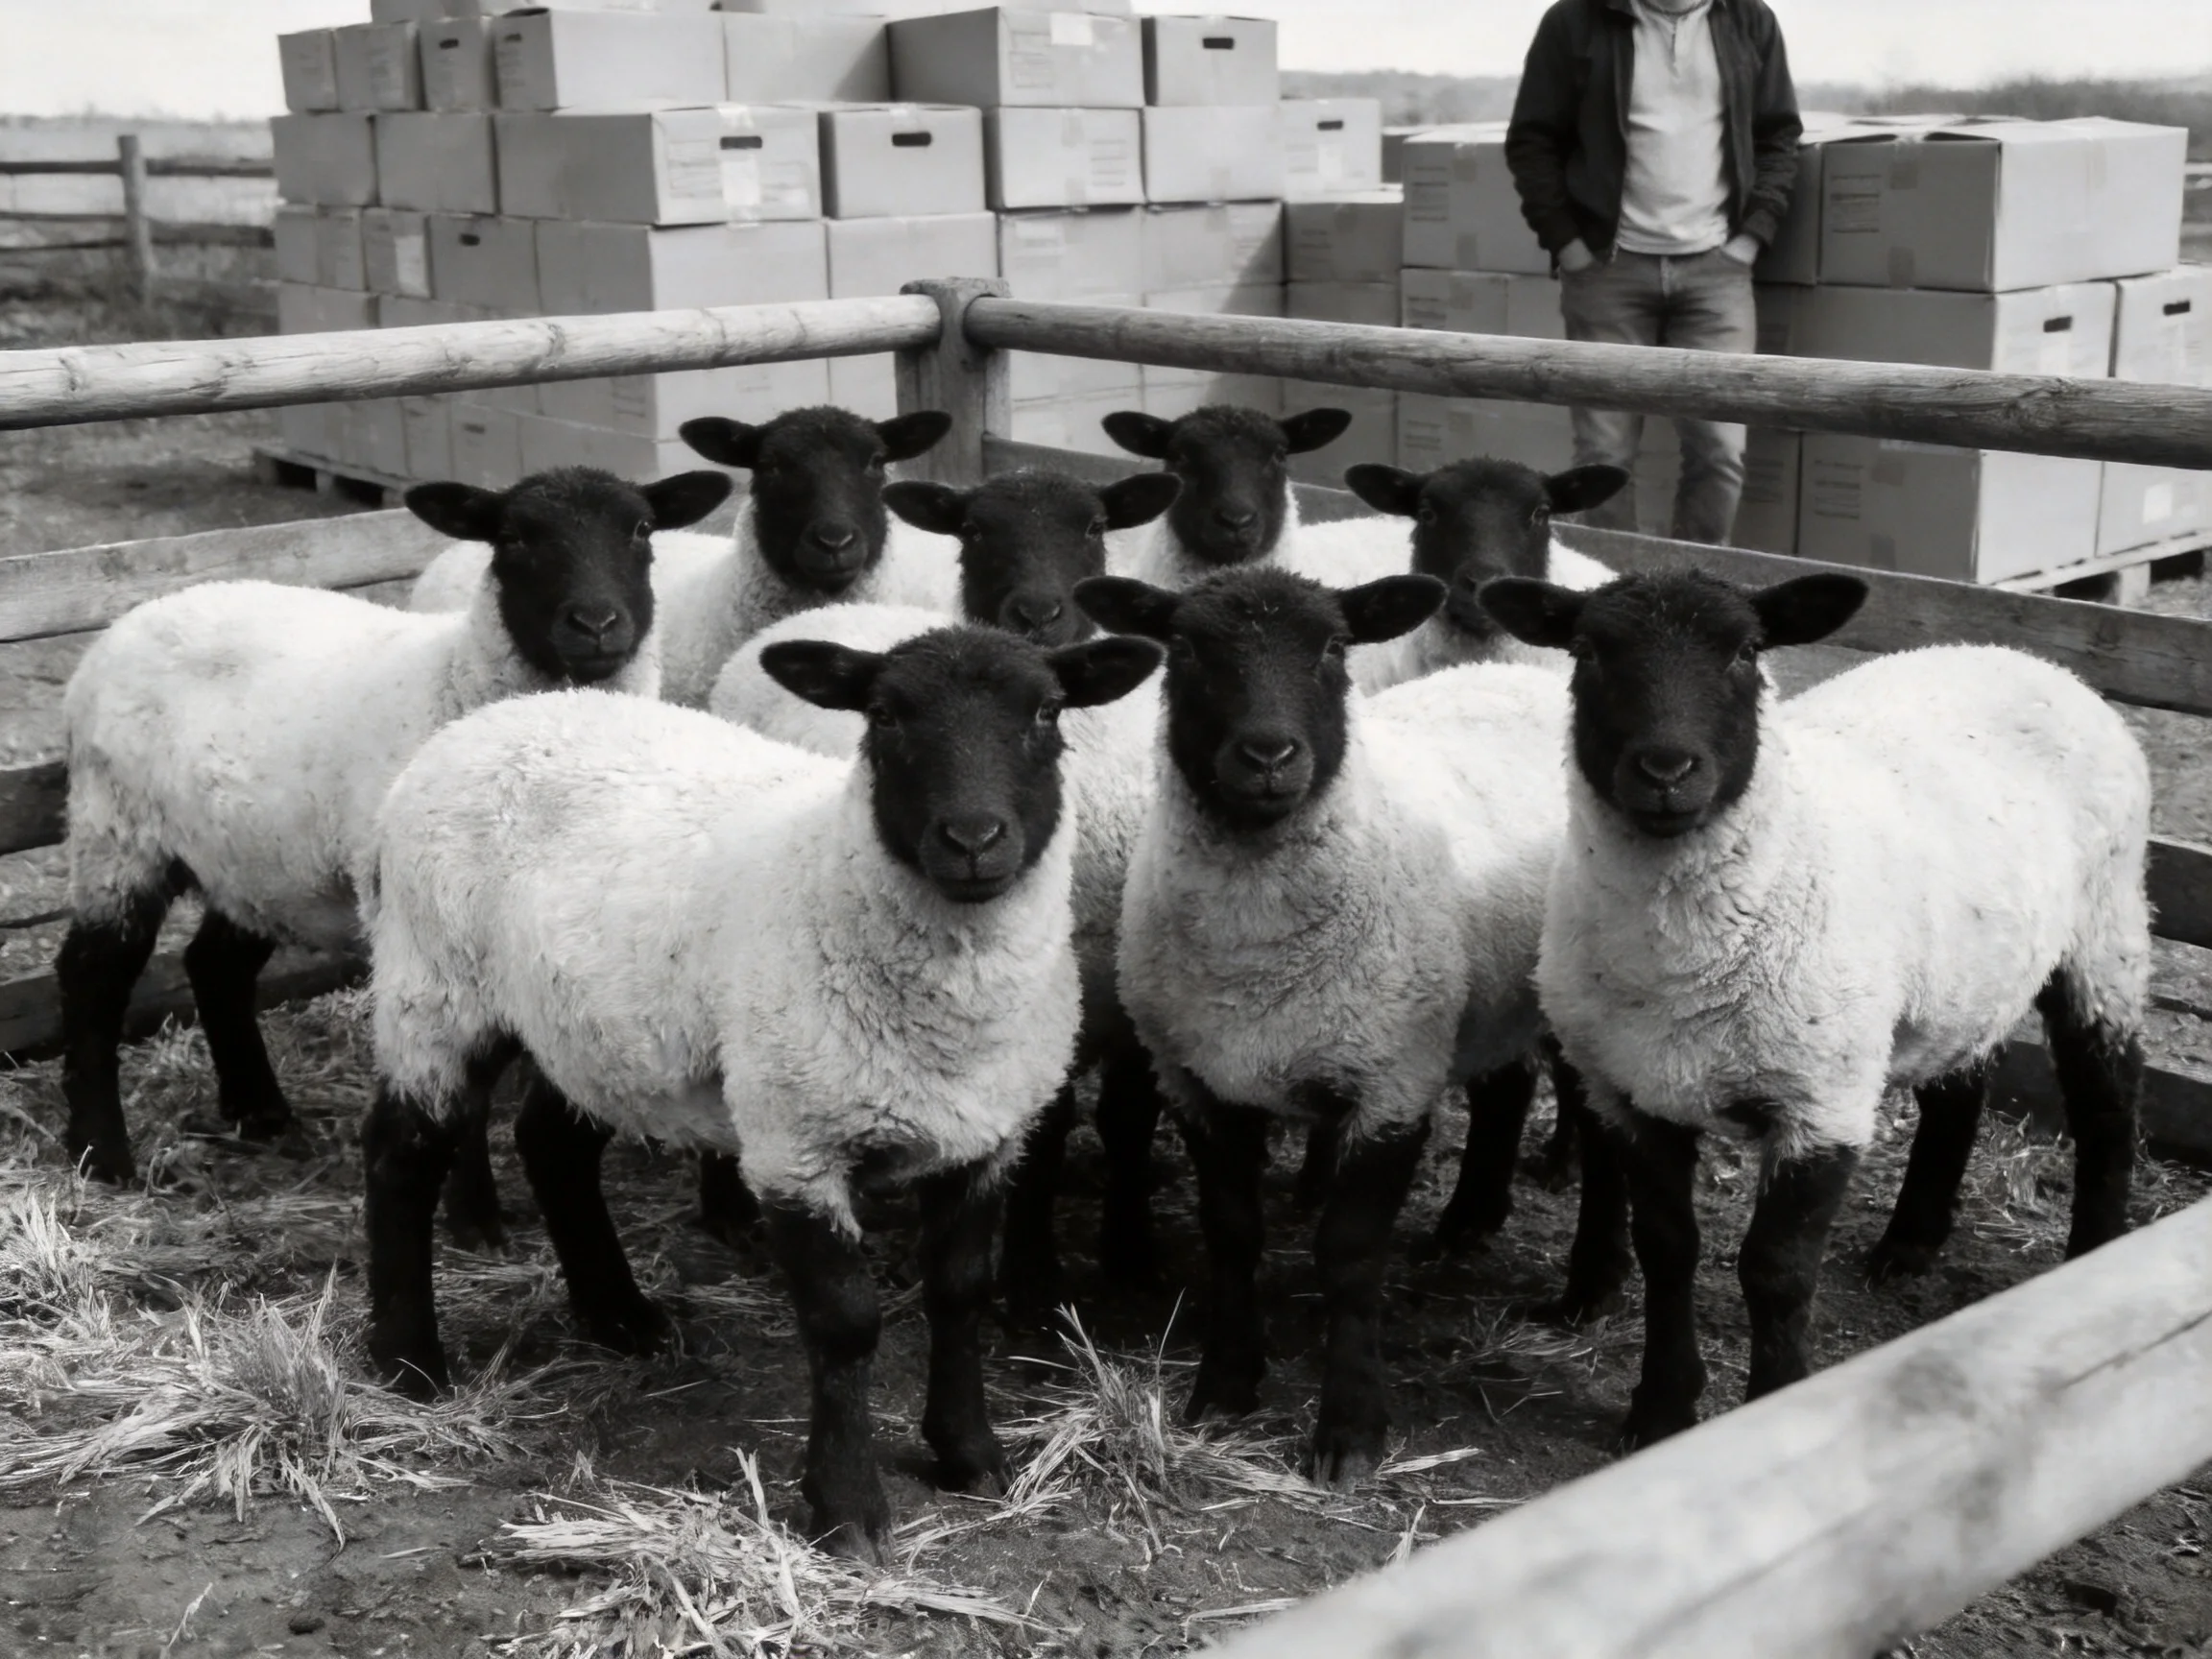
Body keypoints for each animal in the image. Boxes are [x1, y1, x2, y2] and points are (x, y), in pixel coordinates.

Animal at [54, 466, 731, 1186]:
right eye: (513, 537)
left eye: (642, 529)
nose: (597, 623)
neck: (453, 679)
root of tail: (135, 616)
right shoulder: (433, 928)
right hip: (116, 830)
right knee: (92, 974)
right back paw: (101, 1150)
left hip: (250, 855)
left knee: (214, 965)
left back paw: (261, 1113)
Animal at [359, 624, 1164, 1562]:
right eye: (883, 714)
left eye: (1047, 710)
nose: (973, 838)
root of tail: (485, 723)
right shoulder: (797, 1143)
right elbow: (847, 1325)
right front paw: (848, 1512)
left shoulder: (987, 1137)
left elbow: (961, 1293)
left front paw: (971, 1456)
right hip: (435, 990)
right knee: (401, 1158)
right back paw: (410, 1364)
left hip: (590, 1024)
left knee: (552, 1147)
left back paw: (621, 1318)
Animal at [707, 466, 1185, 1309]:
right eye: (974, 531)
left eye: (1094, 525)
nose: (1037, 615)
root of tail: (824, 611)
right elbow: (1046, 1132)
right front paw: (1031, 1274)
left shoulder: (1127, 999)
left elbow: (1127, 1120)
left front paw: (1132, 1258)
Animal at [1076, 564, 1631, 1488]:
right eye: (1185, 647)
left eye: (1333, 647)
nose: (1269, 756)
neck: (1255, 954)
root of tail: (1515, 674)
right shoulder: (1200, 1082)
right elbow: (1232, 1234)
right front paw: (1224, 1388)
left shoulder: (1388, 1082)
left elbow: (1348, 1257)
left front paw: (1349, 1433)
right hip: (1488, 993)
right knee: (1506, 1088)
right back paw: (1464, 1225)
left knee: (1599, 1123)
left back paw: (1590, 1287)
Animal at [1479, 568, 2152, 1452]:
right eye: (1587, 650)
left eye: (1747, 651)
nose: (1665, 768)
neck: (1687, 961)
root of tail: (2018, 654)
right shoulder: (1631, 1095)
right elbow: (1667, 1249)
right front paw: (1660, 1410)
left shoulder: (1820, 1100)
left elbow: (1774, 1271)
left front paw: (1772, 1405)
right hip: (1961, 977)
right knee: (1959, 1091)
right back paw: (1908, 1244)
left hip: (2106, 930)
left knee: (2108, 1100)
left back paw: (2093, 1264)